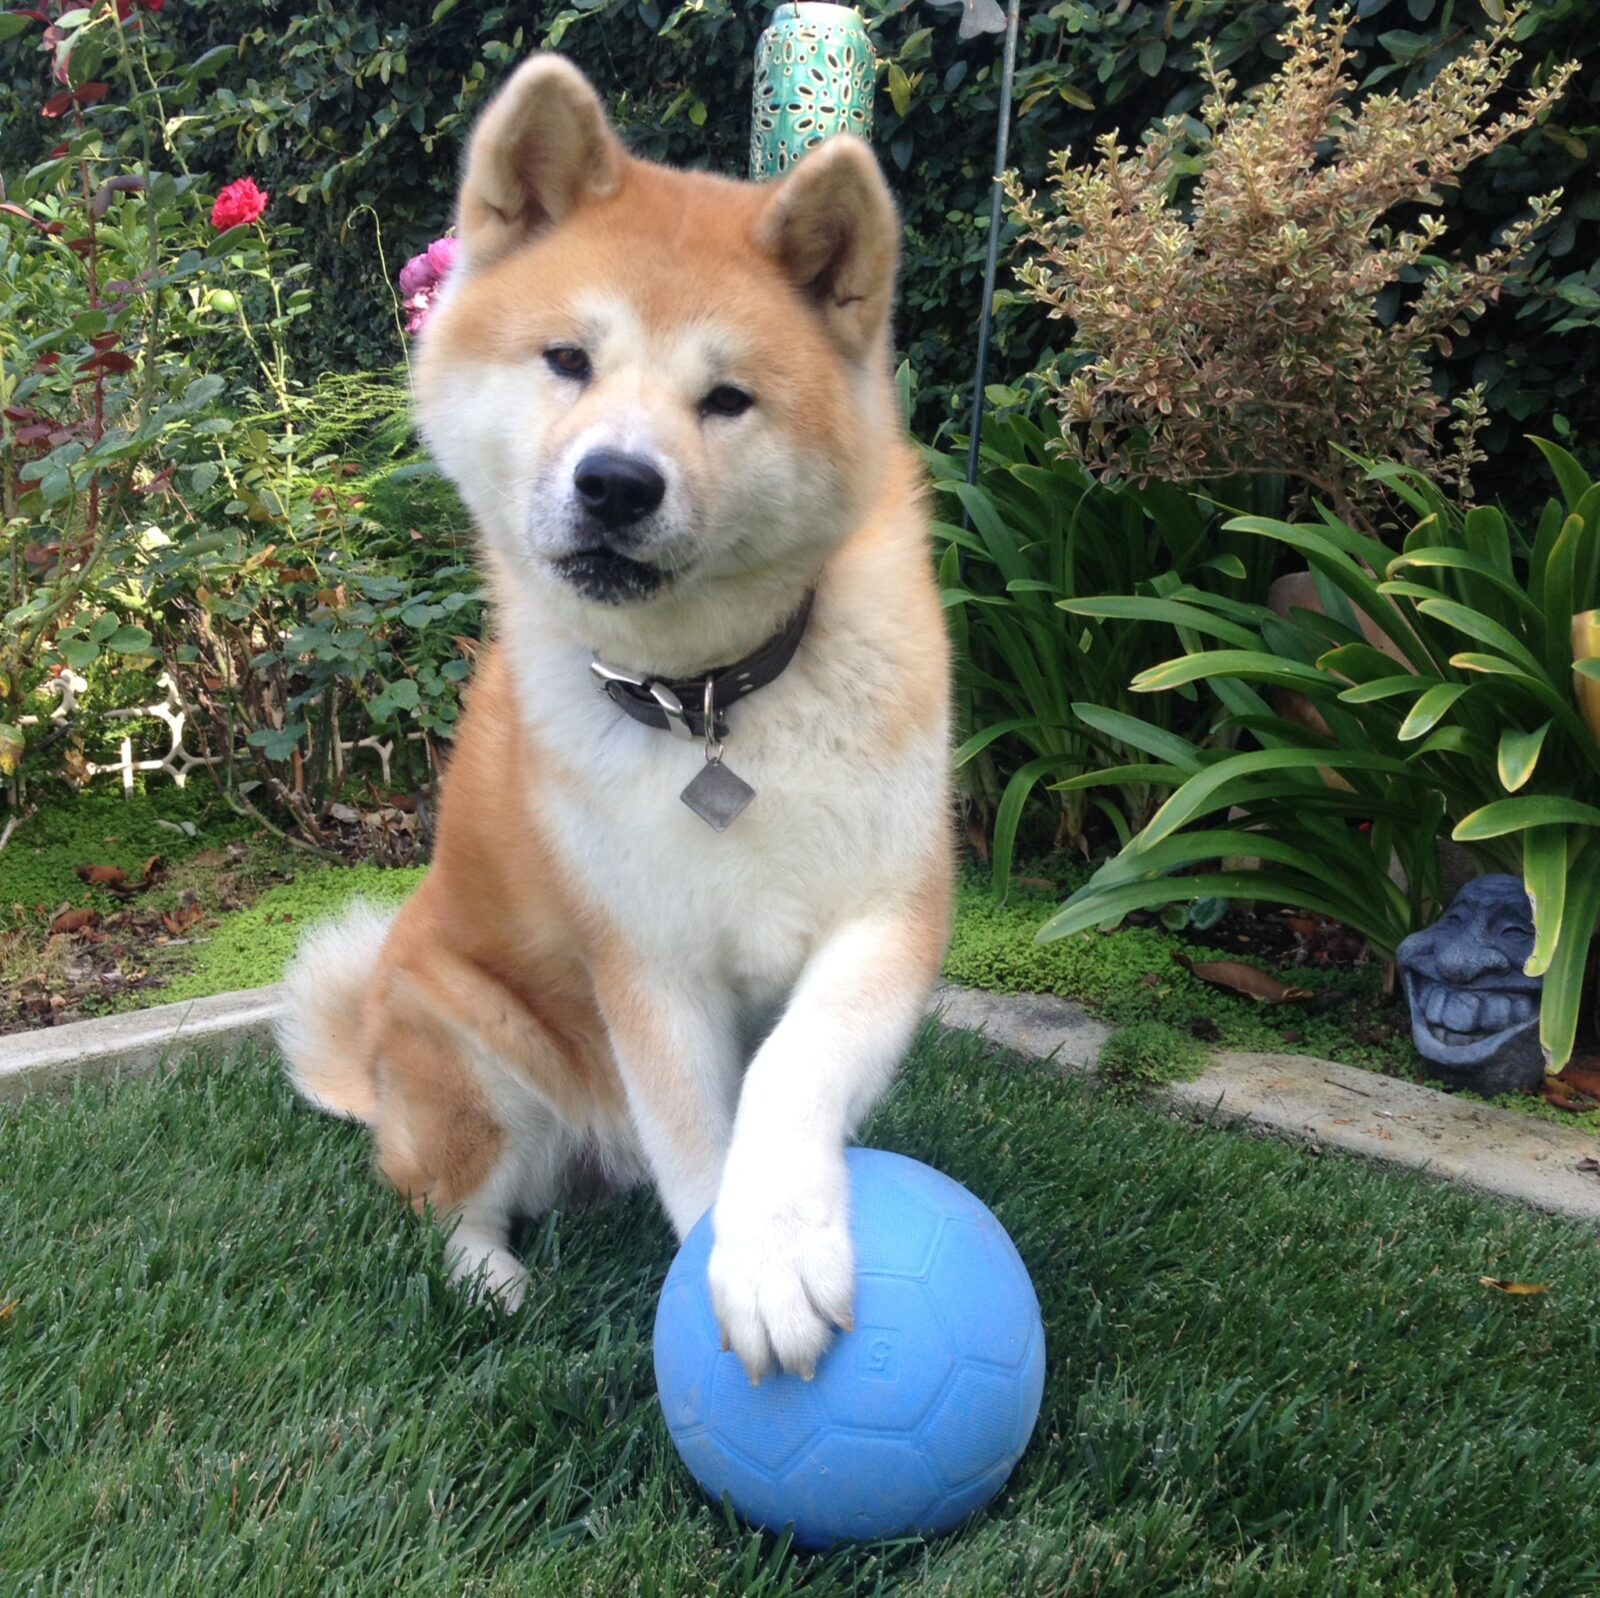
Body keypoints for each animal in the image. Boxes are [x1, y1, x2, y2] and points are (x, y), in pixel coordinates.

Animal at [275, 59, 947, 1388]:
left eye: (726, 398)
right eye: (567, 359)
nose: (618, 482)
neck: (714, 704)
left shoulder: (891, 909)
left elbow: (793, 1067)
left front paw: (778, 1233)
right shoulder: (645, 961)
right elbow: (696, 1140)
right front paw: (739, 1267)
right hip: (466, 1041)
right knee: (441, 1199)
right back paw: (489, 1277)